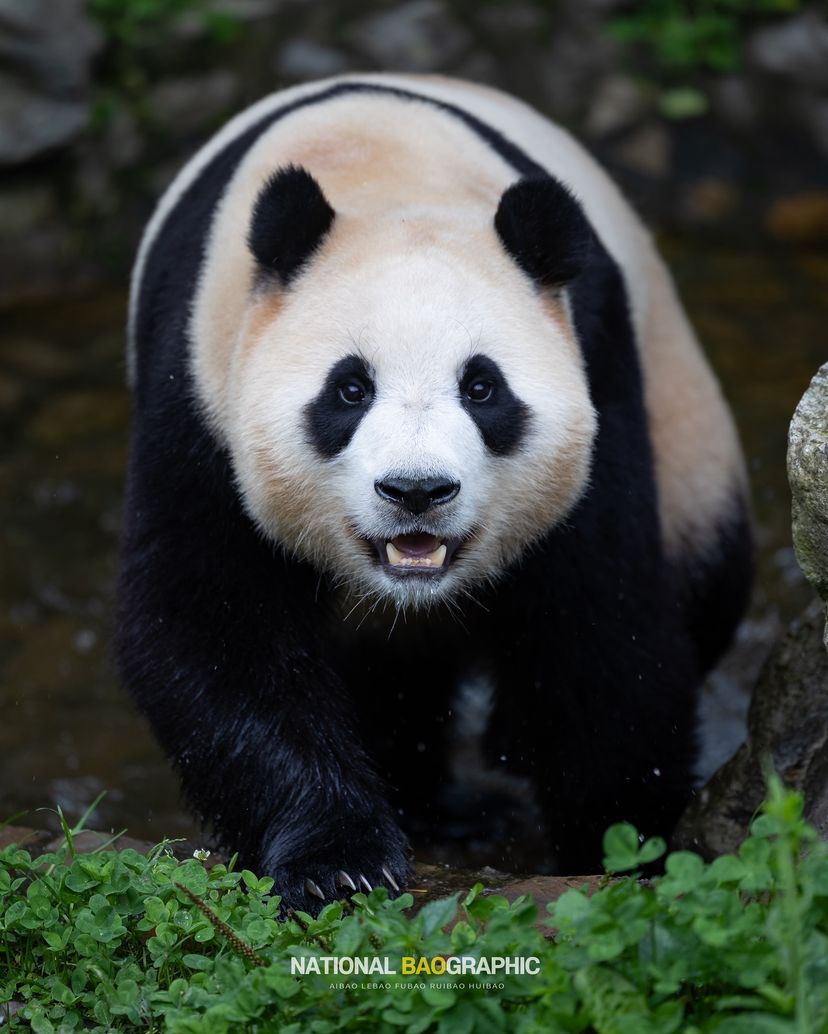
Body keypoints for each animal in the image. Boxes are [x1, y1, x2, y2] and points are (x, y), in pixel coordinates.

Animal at [119, 74, 752, 914]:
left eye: (482, 388)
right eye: (350, 389)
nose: (416, 490)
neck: (383, 170)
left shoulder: (600, 365)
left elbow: (603, 622)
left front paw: (624, 849)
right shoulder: (198, 384)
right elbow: (206, 619)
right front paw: (339, 862)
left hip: (685, 422)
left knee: (709, 575)